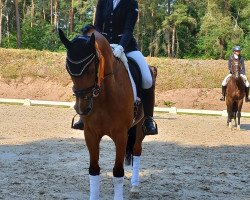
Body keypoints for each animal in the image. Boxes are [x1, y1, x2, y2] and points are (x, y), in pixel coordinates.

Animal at [59, 27, 155, 200]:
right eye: (68, 70)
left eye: (91, 69)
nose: (82, 108)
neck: (104, 95)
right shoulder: (90, 134)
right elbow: (94, 170)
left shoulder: (121, 135)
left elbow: (118, 172)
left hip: (139, 126)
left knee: (137, 150)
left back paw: (135, 187)